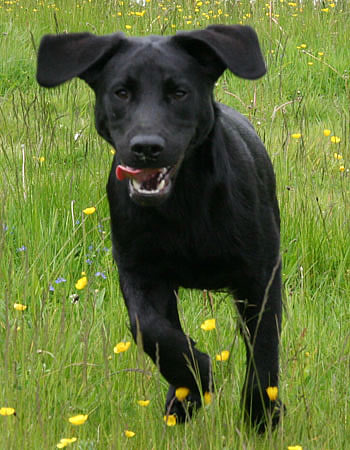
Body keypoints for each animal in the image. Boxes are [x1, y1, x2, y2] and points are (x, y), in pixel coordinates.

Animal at [37, 24, 284, 432]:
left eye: (179, 93)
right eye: (121, 92)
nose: (146, 147)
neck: (184, 205)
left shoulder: (260, 276)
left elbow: (263, 350)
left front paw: (260, 417)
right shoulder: (140, 273)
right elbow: (153, 331)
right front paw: (194, 381)